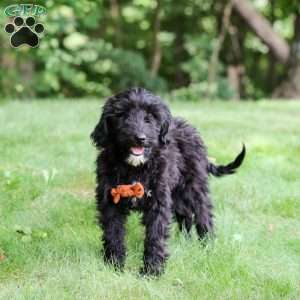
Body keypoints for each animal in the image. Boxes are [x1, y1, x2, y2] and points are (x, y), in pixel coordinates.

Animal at [91, 86, 246, 274]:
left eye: (150, 117)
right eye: (123, 115)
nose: (140, 137)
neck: (135, 168)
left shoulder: (158, 200)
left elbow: (155, 235)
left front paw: (152, 271)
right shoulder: (110, 200)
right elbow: (113, 232)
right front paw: (114, 265)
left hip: (195, 187)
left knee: (203, 215)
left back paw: (208, 246)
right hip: (177, 195)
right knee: (186, 216)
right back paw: (186, 242)